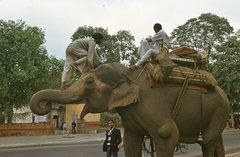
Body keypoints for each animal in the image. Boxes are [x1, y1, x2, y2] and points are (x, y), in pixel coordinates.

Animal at [29, 62, 229, 157]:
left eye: (90, 82)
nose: (47, 105)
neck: (129, 74)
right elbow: (130, 141)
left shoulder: (152, 105)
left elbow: (167, 134)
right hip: (218, 113)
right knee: (216, 141)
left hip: (220, 109)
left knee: (207, 143)